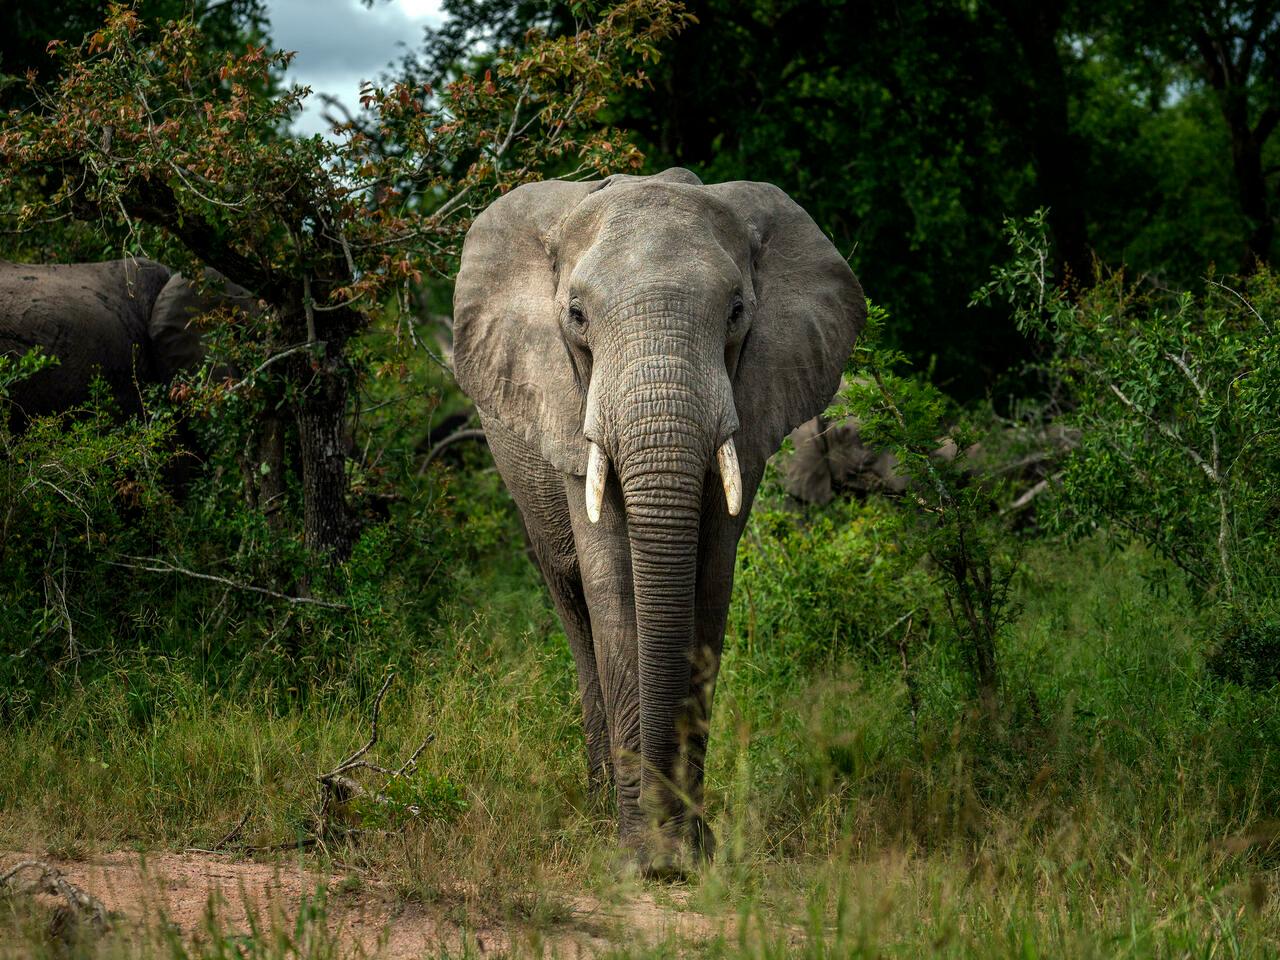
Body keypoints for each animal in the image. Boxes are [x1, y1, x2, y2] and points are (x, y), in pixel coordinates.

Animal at [452, 167, 866, 873]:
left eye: (736, 312)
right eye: (577, 316)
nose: (664, 850)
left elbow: (709, 585)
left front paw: (689, 853)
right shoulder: (568, 407)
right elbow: (614, 586)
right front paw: (638, 856)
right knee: (574, 607)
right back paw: (597, 806)